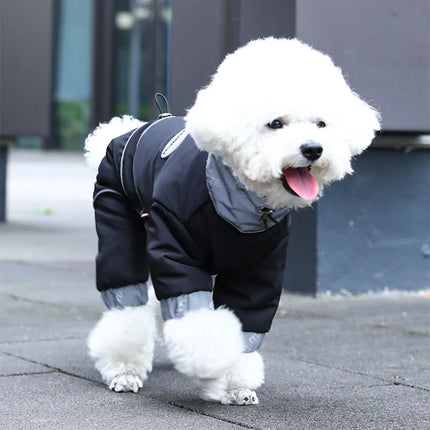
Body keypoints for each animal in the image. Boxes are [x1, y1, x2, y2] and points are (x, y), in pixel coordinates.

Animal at [85, 38, 380, 404]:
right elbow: (196, 320)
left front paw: (235, 384)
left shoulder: (260, 268)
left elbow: (245, 320)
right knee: (125, 295)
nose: (313, 149)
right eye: (275, 123)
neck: (243, 205)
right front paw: (210, 369)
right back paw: (123, 369)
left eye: (321, 124)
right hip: (114, 209)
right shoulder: (176, 247)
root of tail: (124, 131)